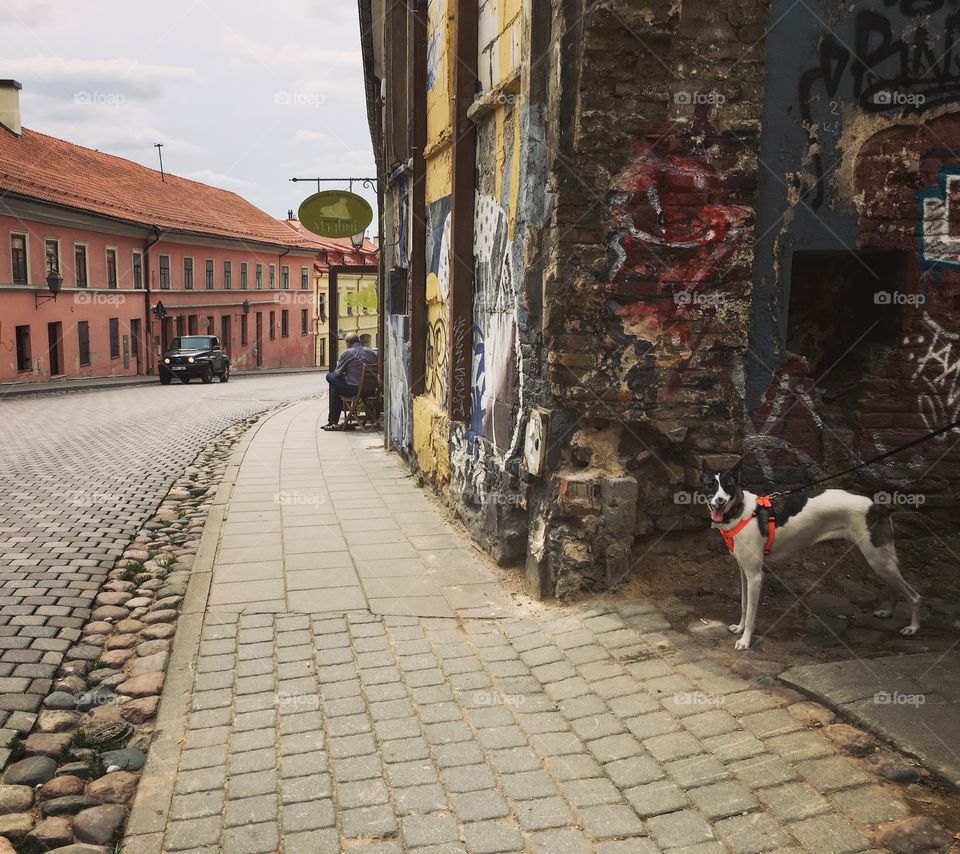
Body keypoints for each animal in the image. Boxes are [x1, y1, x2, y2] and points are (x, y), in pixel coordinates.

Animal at [700, 464, 920, 652]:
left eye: (728, 486)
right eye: (710, 485)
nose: (719, 501)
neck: (740, 511)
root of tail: (878, 505)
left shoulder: (755, 576)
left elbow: (752, 613)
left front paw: (745, 641)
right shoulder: (744, 572)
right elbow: (745, 606)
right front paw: (739, 628)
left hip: (878, 559)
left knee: (914, 595)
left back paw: (913, 628)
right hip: (867, 560)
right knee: (894, 587)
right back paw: (888, 612)